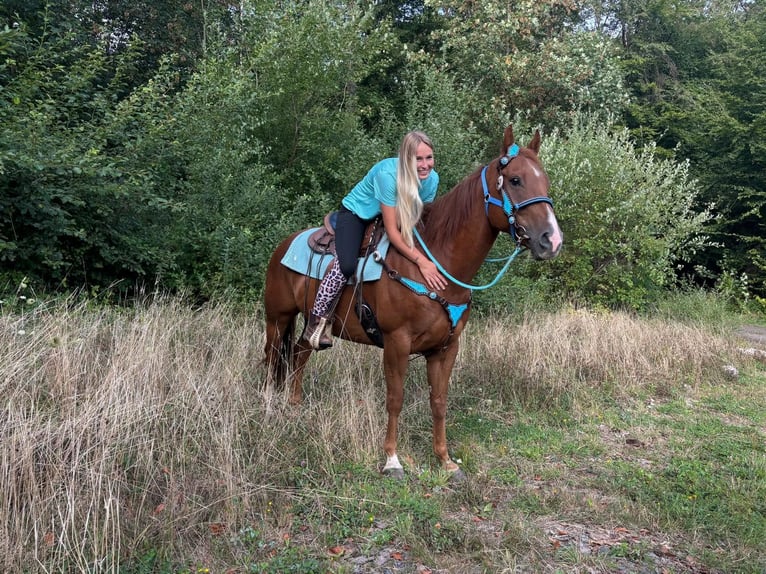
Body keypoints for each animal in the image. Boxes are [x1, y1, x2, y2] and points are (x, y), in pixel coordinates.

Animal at [263, 125, 562, 478]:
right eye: (515, 180)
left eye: (545, 181)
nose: (552, 240)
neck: (437, 264)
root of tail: (283, 246)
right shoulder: (397, 343)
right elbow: (395, 398)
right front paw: (392, 460)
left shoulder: (446, 348)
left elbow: (439, 400)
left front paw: (445, 460)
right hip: (277, 318)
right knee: (271, 359)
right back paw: (268, 408)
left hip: (308, 324)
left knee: (299, 353)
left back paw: (295, 406)